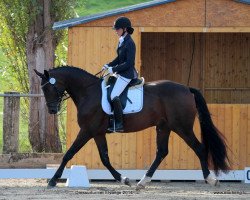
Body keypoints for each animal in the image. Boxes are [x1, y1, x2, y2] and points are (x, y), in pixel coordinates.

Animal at [34, 65, 229, 189]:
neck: (88, 92)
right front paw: (124, 179)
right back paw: (142, 182)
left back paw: (211, 179)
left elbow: (69, 153)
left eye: (49, 88)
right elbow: (105, 158)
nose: (52, 110)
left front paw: (53, 180)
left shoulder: (87, 131)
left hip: (182, 127)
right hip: (164, 127)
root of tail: (187, 89)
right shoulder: (97, 133)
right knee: (162, 152)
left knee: (199, 148)